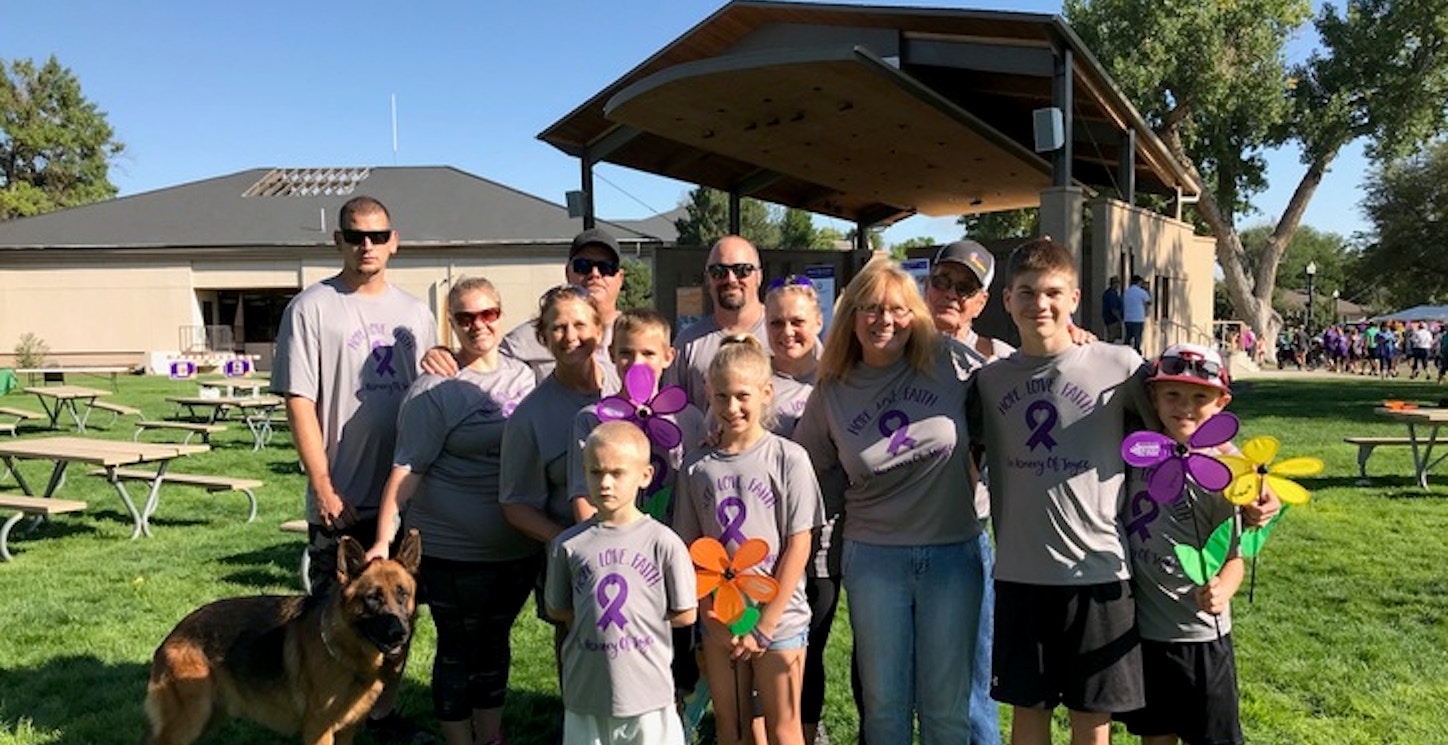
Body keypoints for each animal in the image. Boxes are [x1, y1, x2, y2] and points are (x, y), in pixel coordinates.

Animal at [143, 529, 422, 745]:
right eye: (373, 598)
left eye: (402, 594)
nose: (400, 634)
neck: (345, 652)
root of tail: (174, 632)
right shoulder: (318, 731)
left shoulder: (345, 731)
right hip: (189, 720)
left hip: (208, 716)